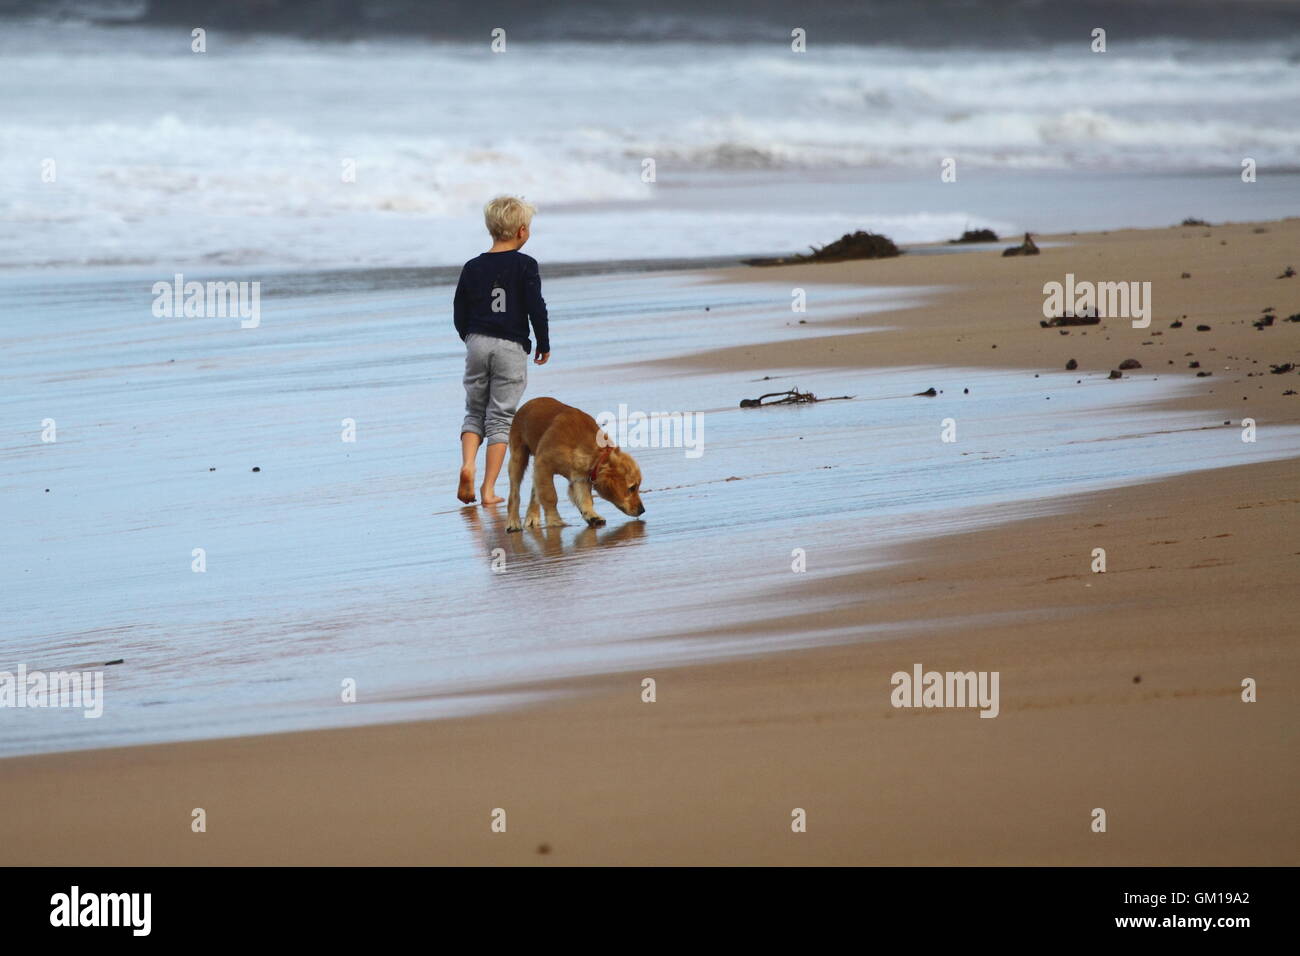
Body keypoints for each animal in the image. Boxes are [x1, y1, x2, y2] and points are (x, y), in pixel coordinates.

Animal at [509, 395, 647, 530]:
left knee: (535, 490)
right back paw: (513, 522)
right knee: (514, 494)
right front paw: (554, 520)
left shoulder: (580, 477)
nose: (642, 510)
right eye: (632, 488)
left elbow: (585, 499)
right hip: (518, 459)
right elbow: (550, 495)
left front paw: (592, 515)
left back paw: (532, 516)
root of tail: (530, 402)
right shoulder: (544, 464)